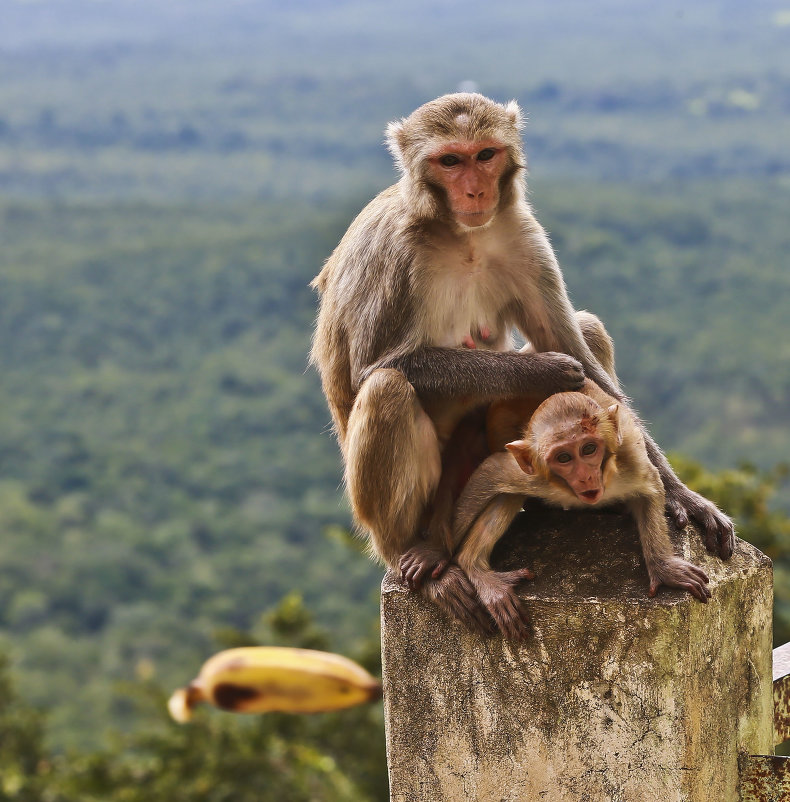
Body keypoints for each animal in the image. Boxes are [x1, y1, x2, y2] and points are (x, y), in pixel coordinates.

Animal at [310, 90, 736, 620]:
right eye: (450, 161)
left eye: (485, 155)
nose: (475, 192)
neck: (461, 234)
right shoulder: (388, 250)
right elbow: (374, 365)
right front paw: (542, 371)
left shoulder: (521, 235)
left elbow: (573, 345)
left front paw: (681, 495)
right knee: (387, 389)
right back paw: (421, 561)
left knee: (588, 328)